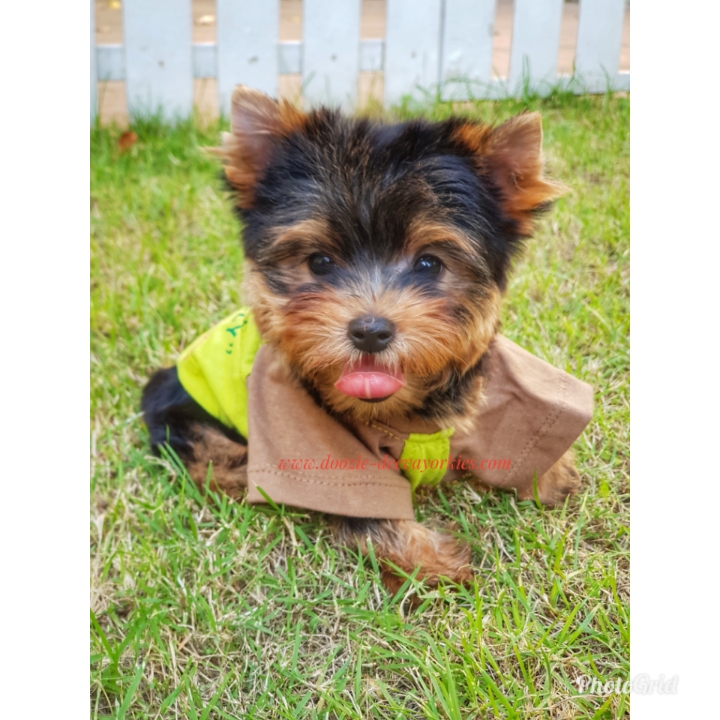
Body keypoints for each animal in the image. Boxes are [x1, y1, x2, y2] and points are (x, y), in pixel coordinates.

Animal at [142, 86, 591, 594]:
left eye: (429, 264)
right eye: (319, 262)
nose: (370, 331)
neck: (398, 411)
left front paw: (553, 475)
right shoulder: (301, 429)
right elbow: (359, 503)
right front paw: (431, 562)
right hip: (180, 407)